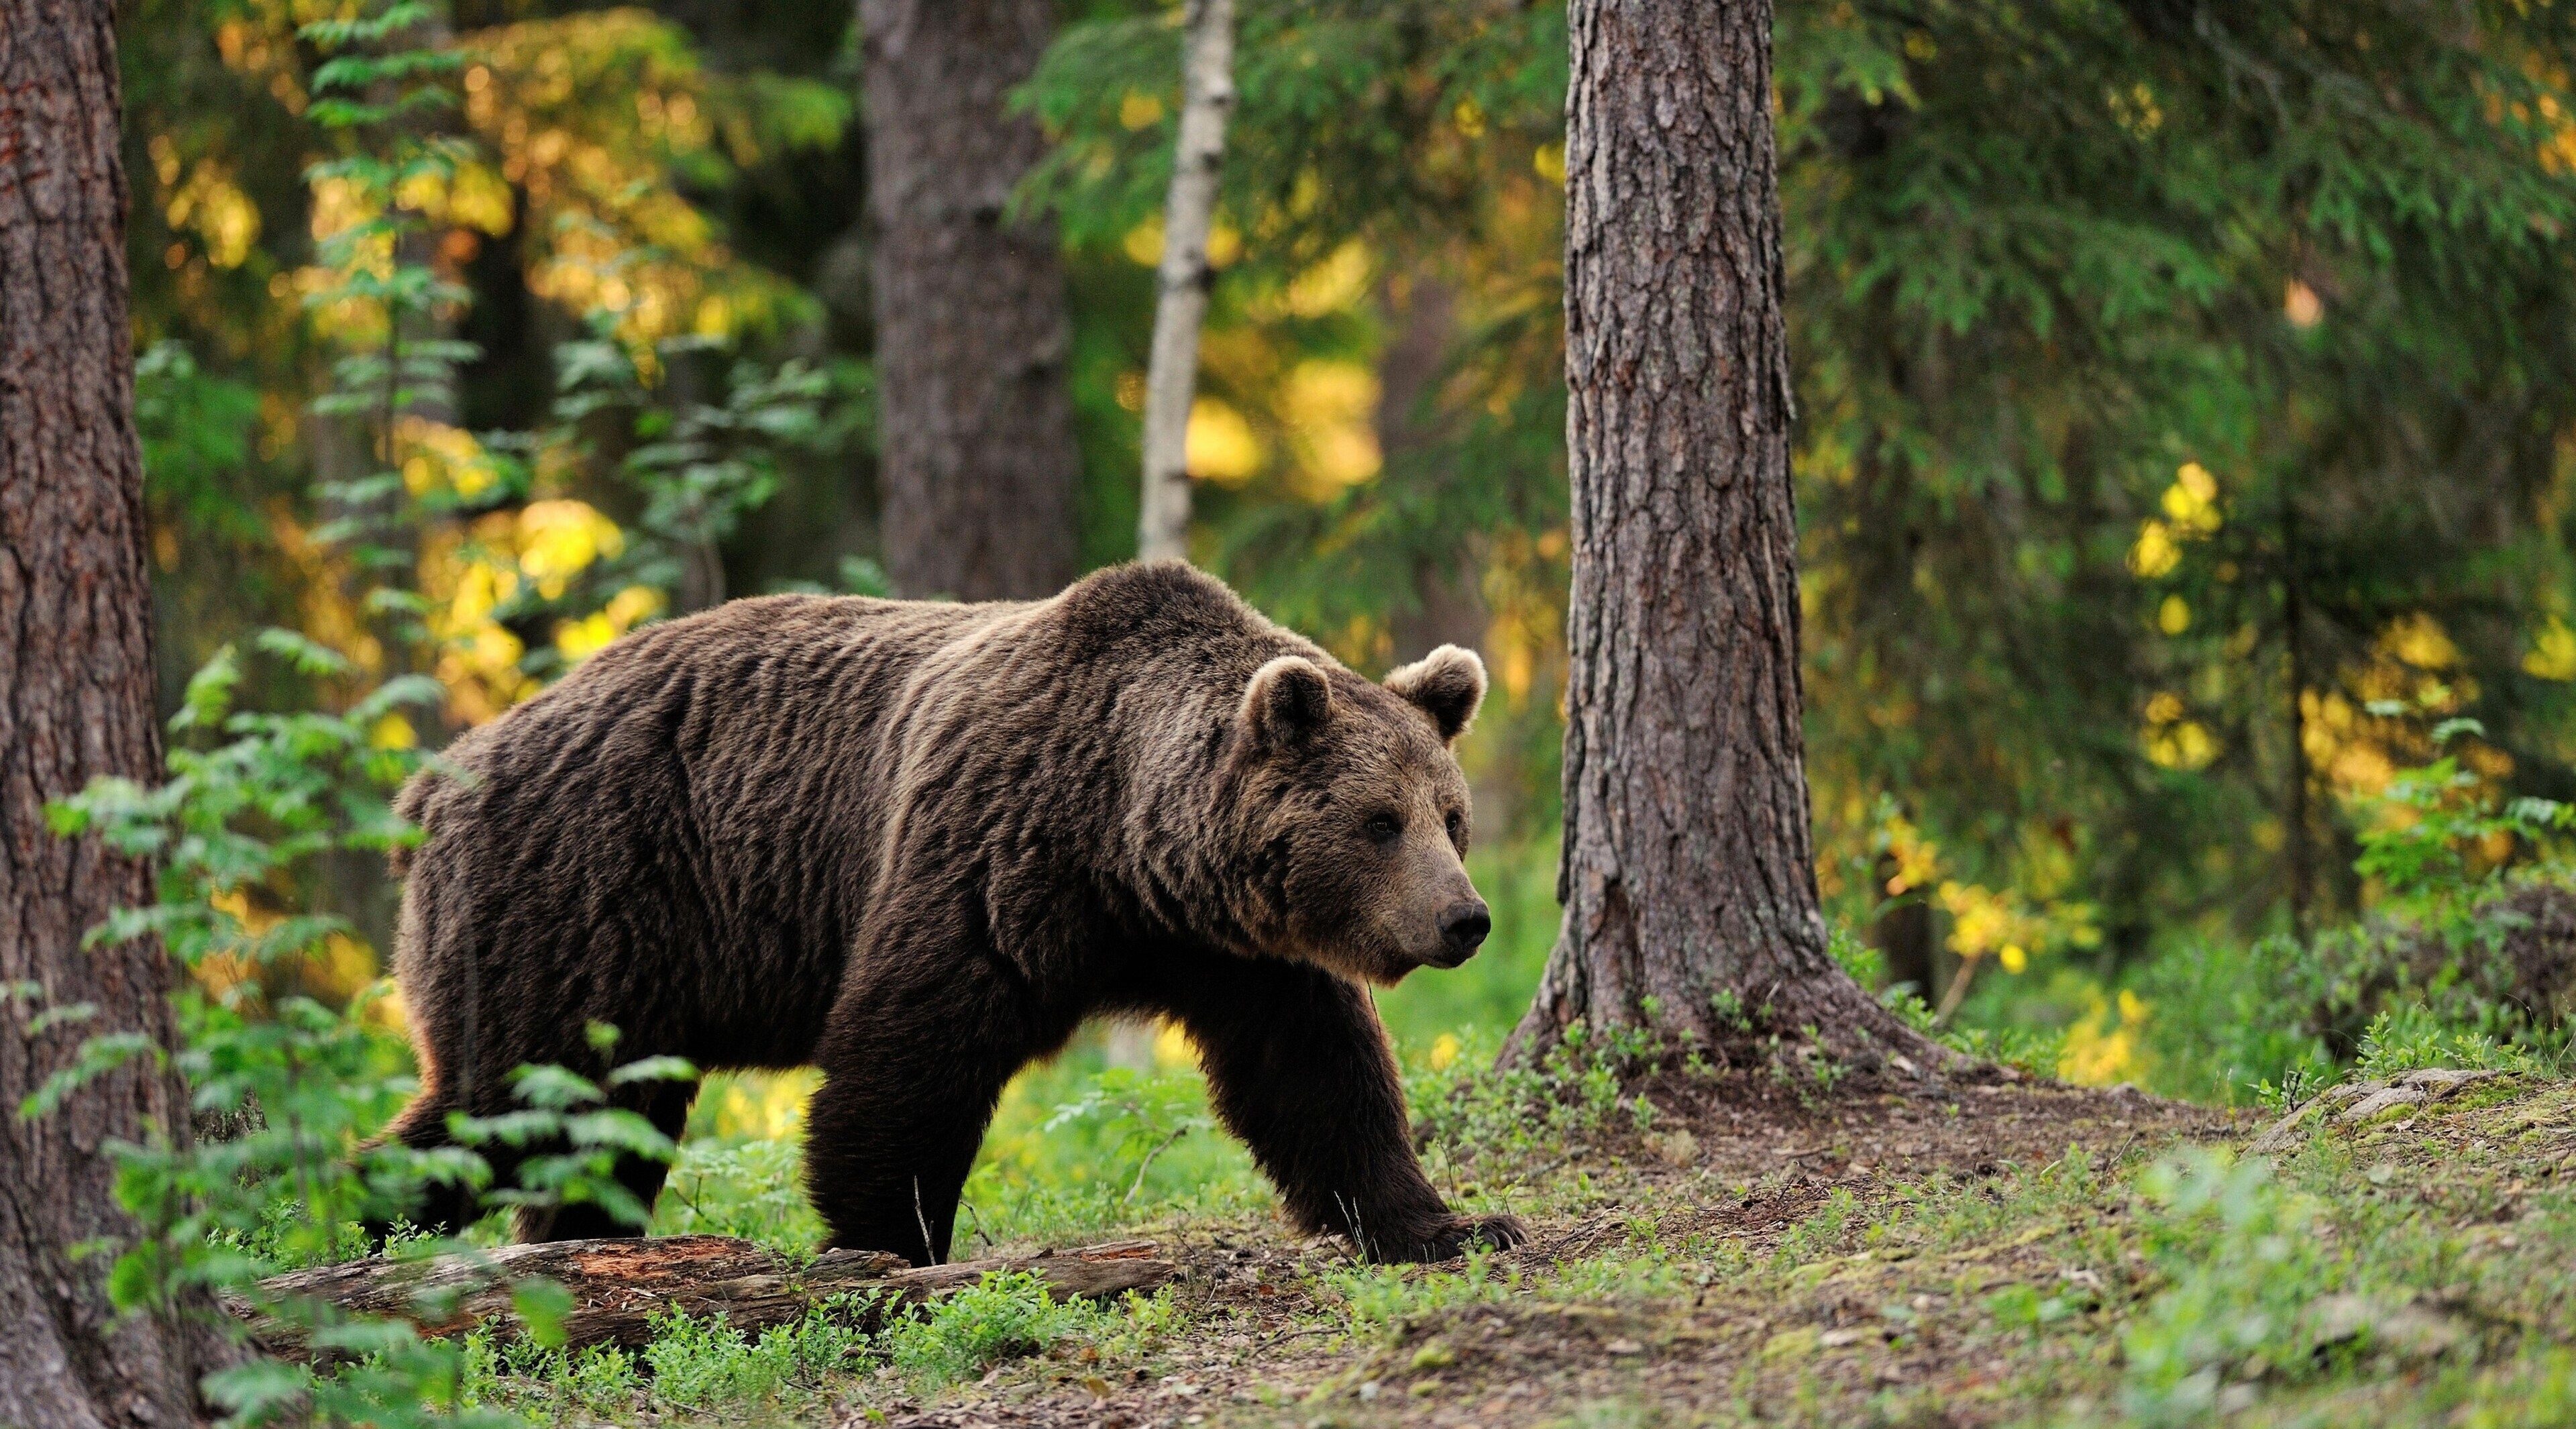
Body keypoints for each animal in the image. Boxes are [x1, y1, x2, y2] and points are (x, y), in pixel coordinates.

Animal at [373, 558, 1514, 1261]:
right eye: (1378, 820)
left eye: (1451, 817)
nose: (1465, 919)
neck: (1127, 845)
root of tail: (437, 778)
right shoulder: (989, 854)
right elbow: (909, 1052)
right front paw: (886, 1239)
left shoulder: (1236, 950)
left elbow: (1316, 1076)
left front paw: (1446, 1223)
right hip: (580, 899)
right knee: (507, 1097)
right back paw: (359, 1215)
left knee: (593, 1126)